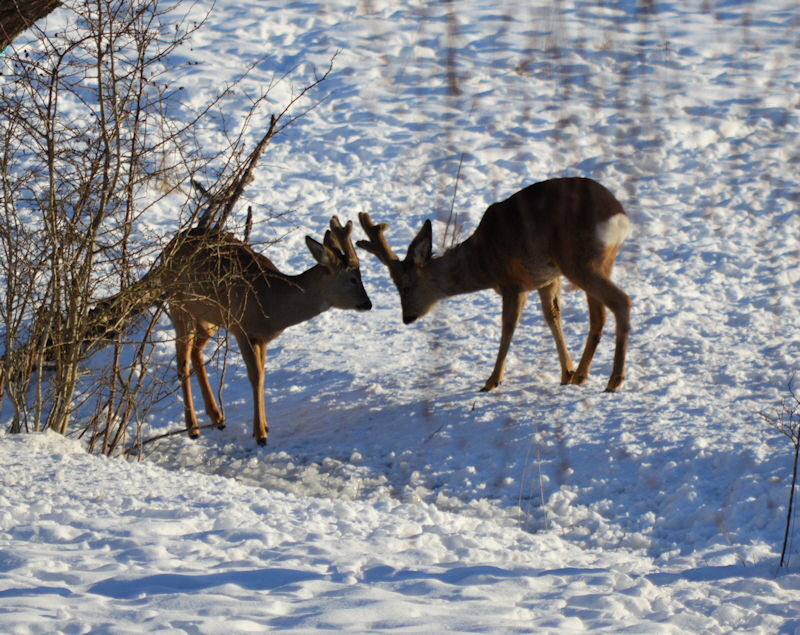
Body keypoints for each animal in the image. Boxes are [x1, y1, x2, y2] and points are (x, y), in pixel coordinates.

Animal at [155, 216, 372, 444]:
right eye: (353, 279)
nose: (368, 303)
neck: (272, 302)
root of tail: (169, 247)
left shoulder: (262, 337)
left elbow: (262, 376)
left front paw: (265, 426)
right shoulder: (243, 329)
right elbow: (256, 377)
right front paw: (260, 435)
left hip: (209, 317)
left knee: (196, 351)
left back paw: (217, 418)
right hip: (179, 304)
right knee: (182, 360)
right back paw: (193, 428)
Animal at [358, 178, 632, 392]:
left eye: (404, 286)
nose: (407, 317)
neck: (482, 262)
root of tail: (618, 215)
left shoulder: (512, 282)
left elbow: (508, 326)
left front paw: (491, 381)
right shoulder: (547, 279)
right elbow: (552, 317)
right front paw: (566, 373)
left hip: (578, 260)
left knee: (621, 301)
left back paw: (614, 381)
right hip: (595, 262)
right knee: (599, 316)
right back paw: (582, 376)